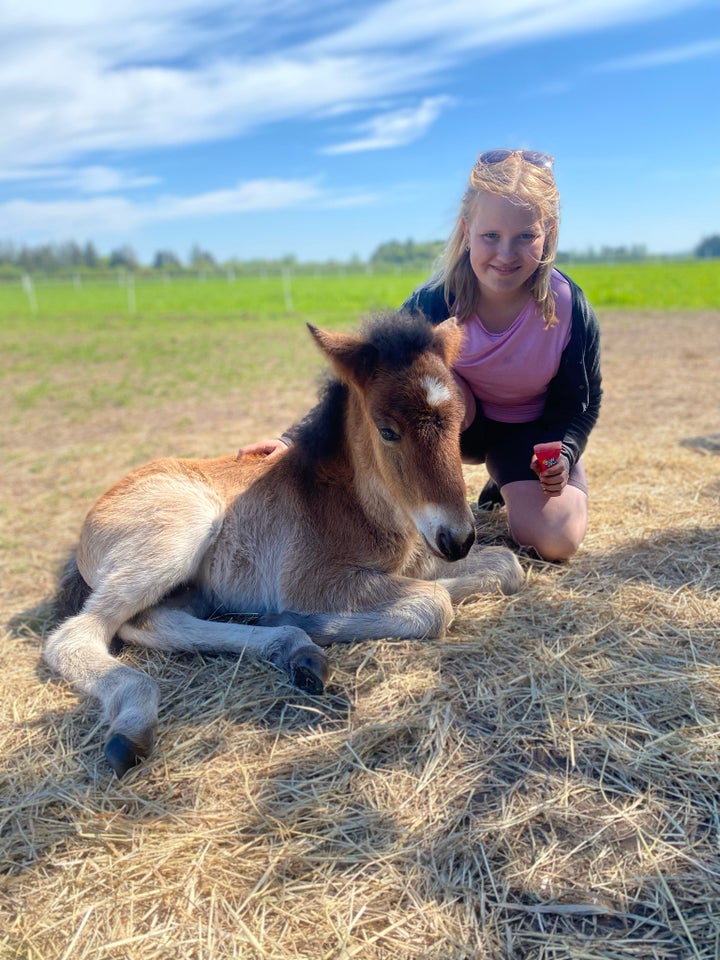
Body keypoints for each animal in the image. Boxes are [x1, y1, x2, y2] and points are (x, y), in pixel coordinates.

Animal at [43, 312, 524, 776]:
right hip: (182, 528)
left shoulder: (419, 561)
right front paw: (299, 615)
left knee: (153, 621)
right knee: (74, 636)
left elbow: (506, 568)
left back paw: (294, 649)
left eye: (459, 421)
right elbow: (433, 603)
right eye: (387, 431)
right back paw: (136, 722)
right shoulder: (310, 579)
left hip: (192, 584)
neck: (355, 500)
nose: (457, 538)